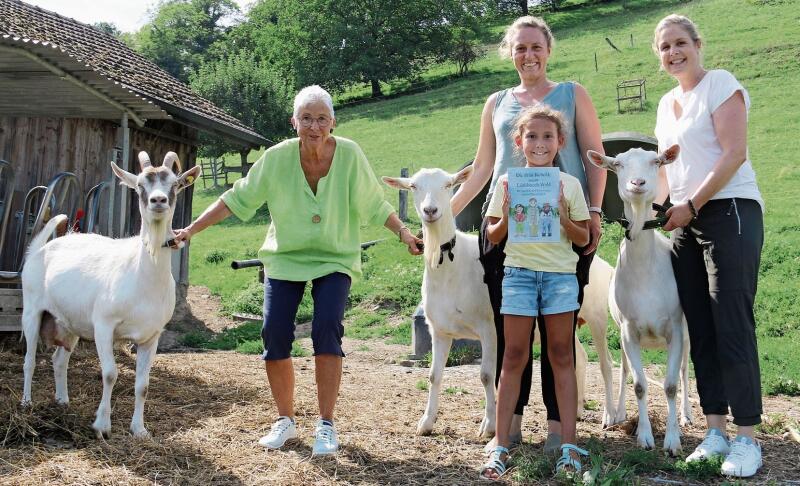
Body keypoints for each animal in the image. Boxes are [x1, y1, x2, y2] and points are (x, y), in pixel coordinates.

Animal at [21, 153, 200, 440]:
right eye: (139, 186)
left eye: (174, 184)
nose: (158, 200)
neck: (141, 278)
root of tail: (40, 249)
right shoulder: (103, 325)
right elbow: (109, 374)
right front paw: (102, 426)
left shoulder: (151, 336)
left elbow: (143, 385)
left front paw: (139, 429)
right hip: (32, 310)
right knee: (29, 360)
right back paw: (26, 403)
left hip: (69, 323)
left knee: (59, 360)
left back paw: (63, 401)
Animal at [584, 145, 692, 456]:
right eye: (618, 164)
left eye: (656, 161)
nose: (638, 183)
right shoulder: (628, 329)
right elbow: (639, 384)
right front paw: (644, 436)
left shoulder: (675, 328)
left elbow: (670, 384)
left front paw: (673, 441)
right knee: (623, 370)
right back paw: (616, 413)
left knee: (684, 370)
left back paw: (687, 414)